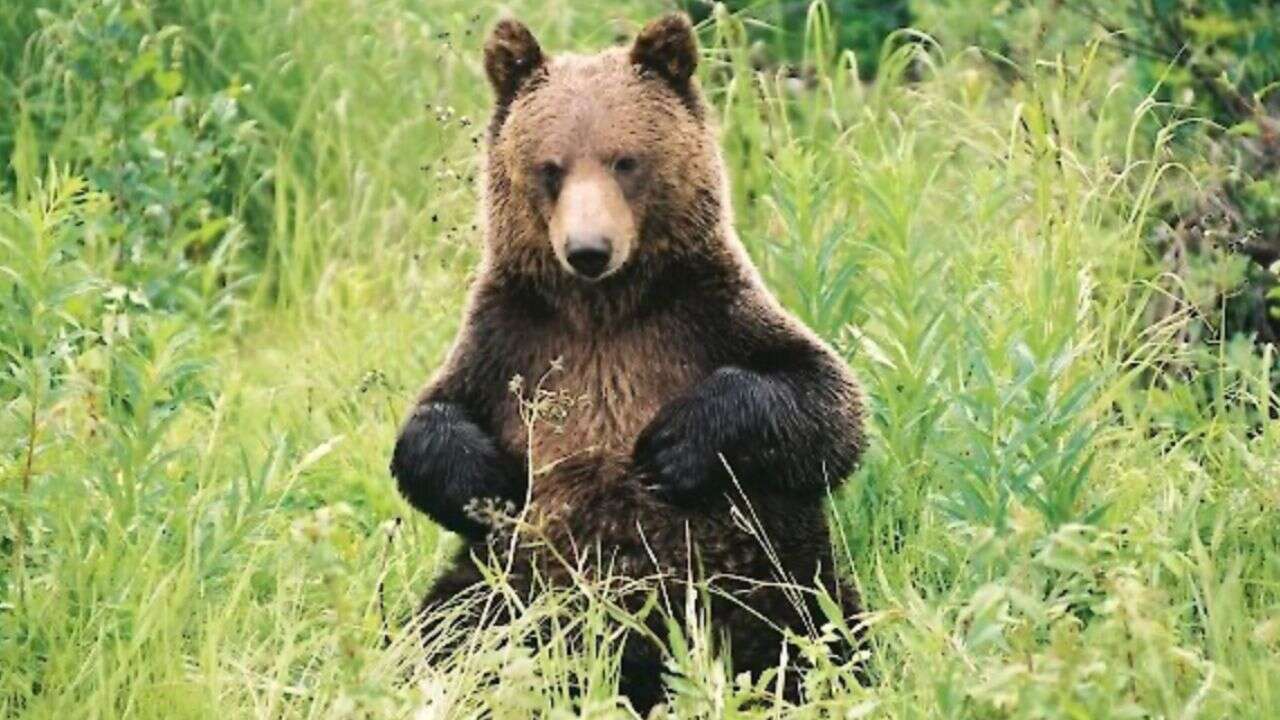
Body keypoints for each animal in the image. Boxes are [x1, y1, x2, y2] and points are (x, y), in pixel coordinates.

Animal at [390, 12, 866, 712]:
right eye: (552, 167)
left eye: (625, 160)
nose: (589, 248)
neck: (602, 310)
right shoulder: (511, 336)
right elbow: (429, 425)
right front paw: (485, 478)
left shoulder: (705, 315)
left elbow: (825, 406)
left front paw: (673, 444)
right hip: (506, 583)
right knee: (449, 627)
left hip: (764, 572)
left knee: (820, 626)